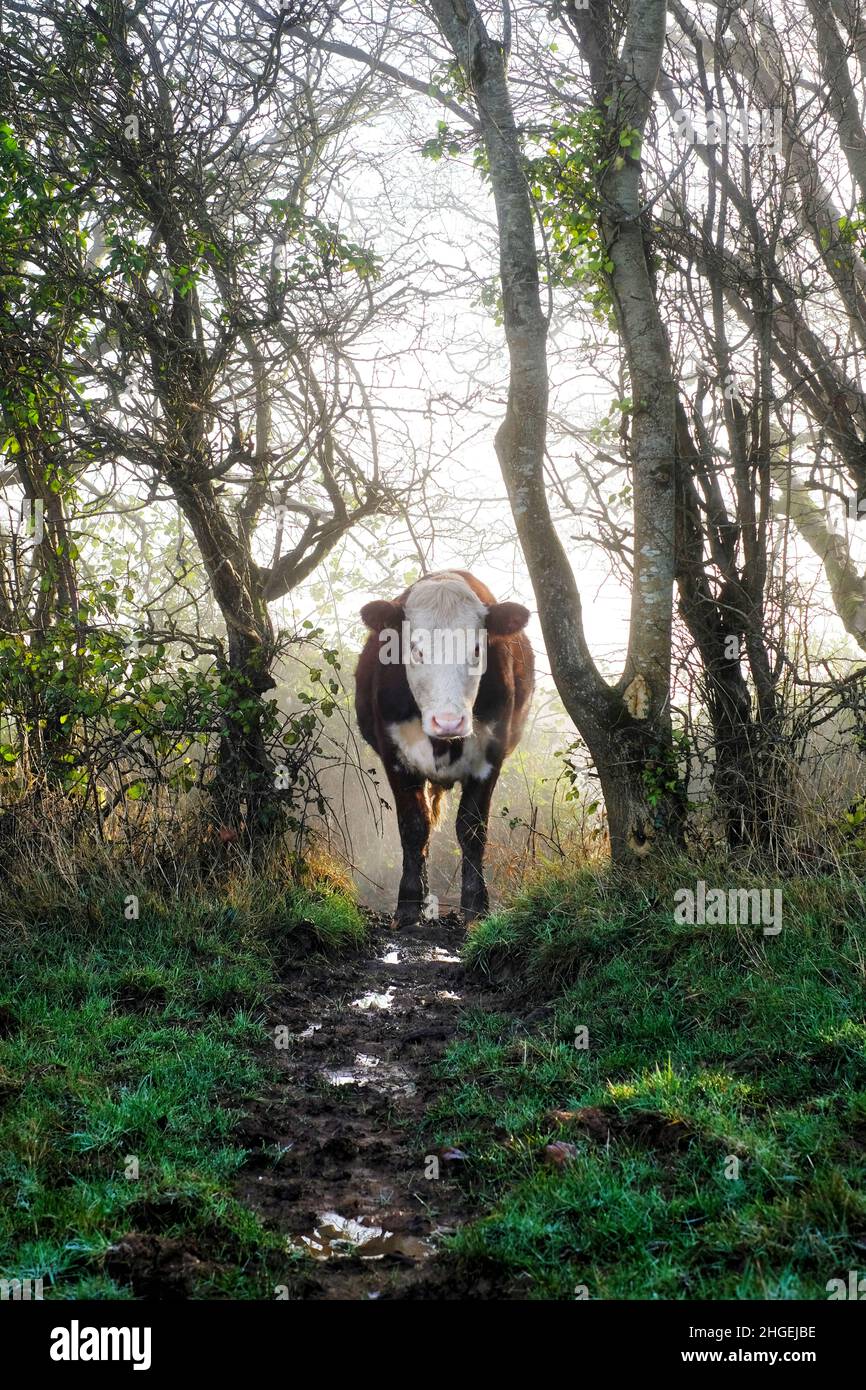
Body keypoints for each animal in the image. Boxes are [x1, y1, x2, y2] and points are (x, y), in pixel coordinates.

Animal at [354, 569, 530, 928]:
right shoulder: (395, 757)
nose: (448, 721)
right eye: (416, 650)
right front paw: (408, 905)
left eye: (477, 649)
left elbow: (472, 829)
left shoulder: (491, 756)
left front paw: (476, 906)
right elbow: (414, 826)